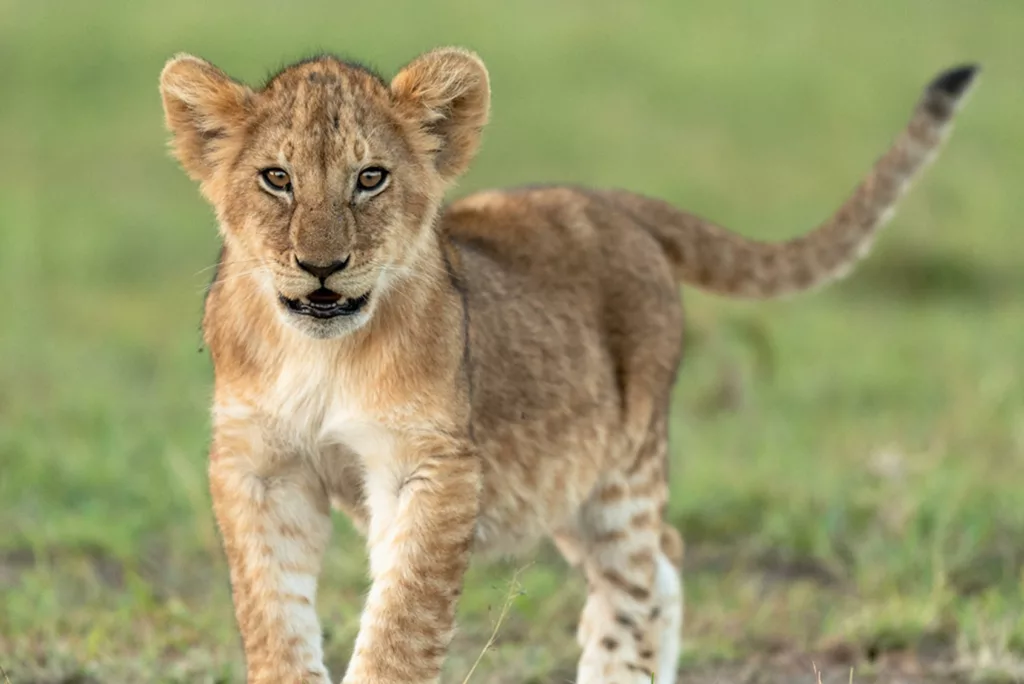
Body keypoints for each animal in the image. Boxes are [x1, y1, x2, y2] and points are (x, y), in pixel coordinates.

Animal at [158, 47, 977, 683]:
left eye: (370, 178)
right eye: (276, 178)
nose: (321, 267)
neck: (319, 353)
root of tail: (613, 199)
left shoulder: (432, 467)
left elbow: (399, 624)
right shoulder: (259, 466)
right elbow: (274, 618)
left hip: (620, 469)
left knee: (643, 579)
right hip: (562, 486)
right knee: (658, 565)